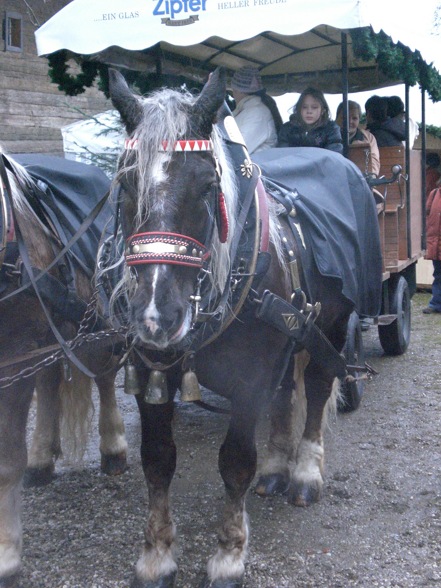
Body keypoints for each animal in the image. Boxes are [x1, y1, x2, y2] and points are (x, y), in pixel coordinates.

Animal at [0, 148, 127, 588]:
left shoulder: (16, 352)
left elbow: (7, 458)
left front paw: (7, 551)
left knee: (103, 377)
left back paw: (114, 447)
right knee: (49, 379)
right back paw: (42, 455)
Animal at [106, 64, 382, 588]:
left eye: (205, 185)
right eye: (126, 184)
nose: (156, 315)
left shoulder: (250, 374)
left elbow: (234, 462)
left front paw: (229, 555)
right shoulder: (152, 369)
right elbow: (157, 460)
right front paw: (156, 554)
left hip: (333, 327)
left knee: (318, 388)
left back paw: (304, 474)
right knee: (286, 392)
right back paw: (275, 469)